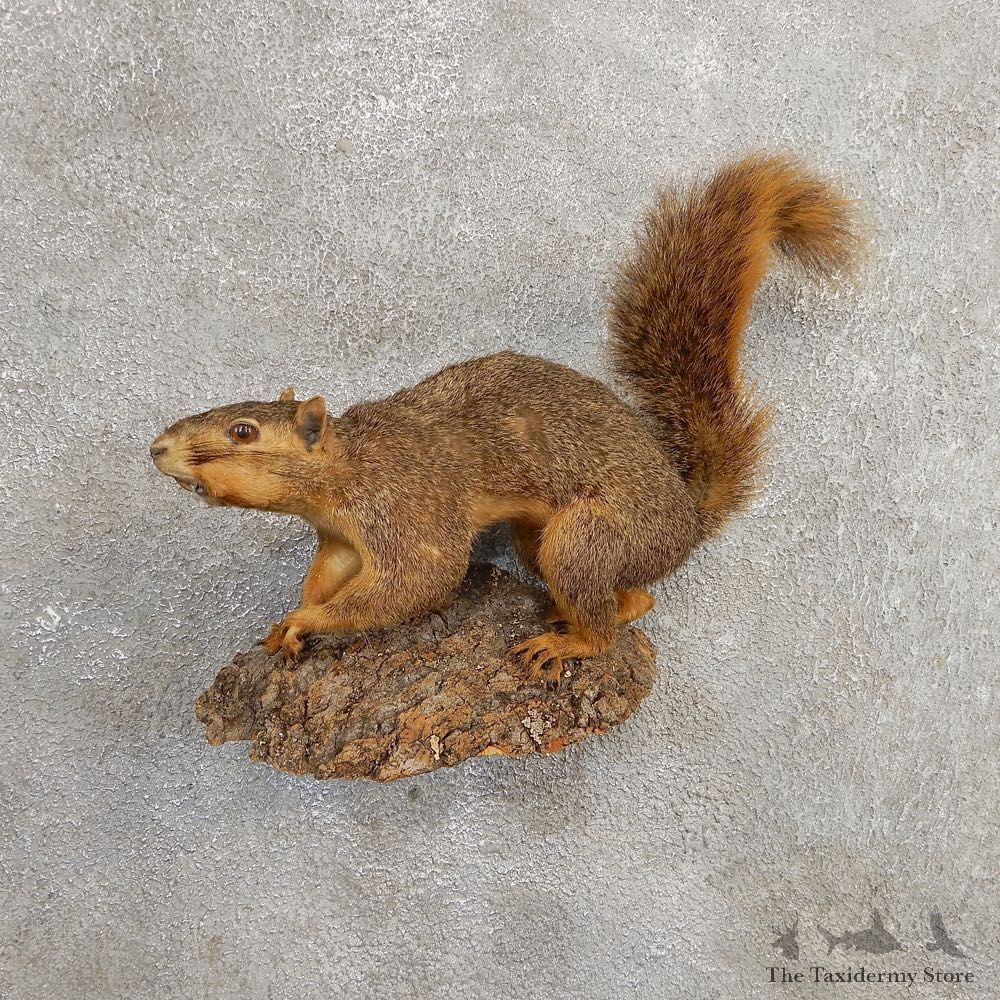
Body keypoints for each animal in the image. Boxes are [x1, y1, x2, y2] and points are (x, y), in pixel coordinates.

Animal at [150, 154, 862, 681]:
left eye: (243, 432)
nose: (157, 448)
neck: (343, 473)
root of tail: (687, 520)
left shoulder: (405, 511)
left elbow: (415, 580)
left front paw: (310, 623)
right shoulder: (342, 538)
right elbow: (328, 577)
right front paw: (291, 617)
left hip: (590, 537)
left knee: (612, 599)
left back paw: (575, 641)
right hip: (536, 538)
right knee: (632, 595)